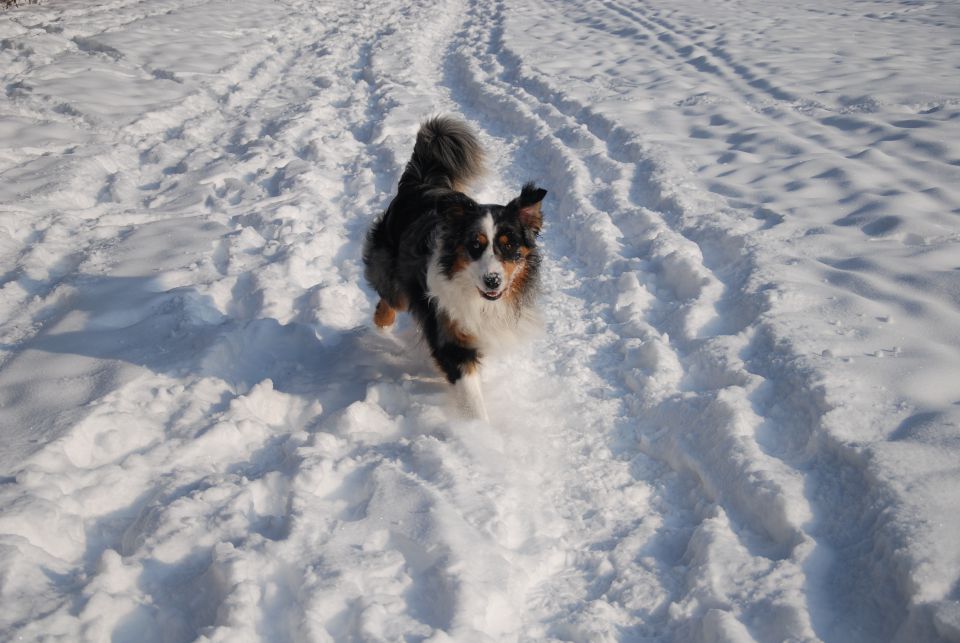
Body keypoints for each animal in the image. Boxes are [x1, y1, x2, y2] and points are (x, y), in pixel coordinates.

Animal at [364, 116, 548, 420]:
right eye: (475, 244)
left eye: (509, 245)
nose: (493, 281)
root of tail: (421, 183)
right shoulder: (449, 331)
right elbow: (471, 397)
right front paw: (479, 430)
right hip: (390, 269)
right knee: (389, 296)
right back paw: (381, 324)